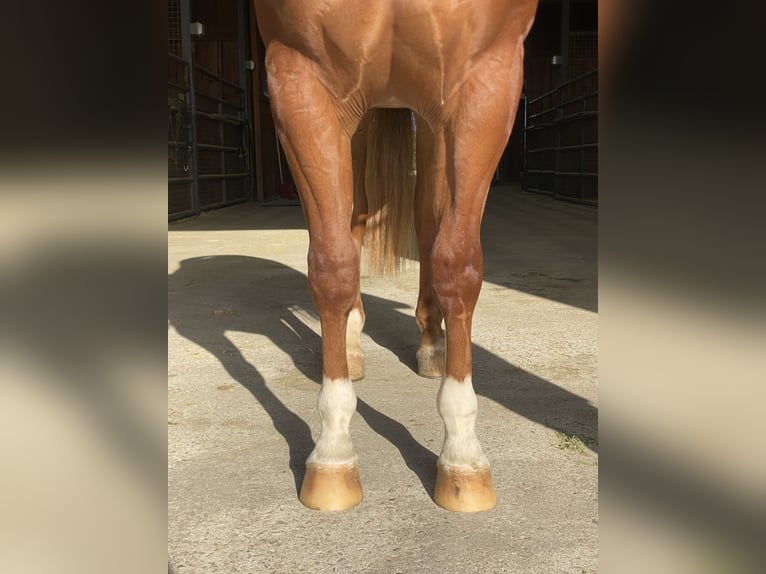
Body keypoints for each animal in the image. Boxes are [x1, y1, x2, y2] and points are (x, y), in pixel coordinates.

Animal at [252, 0, 539, 512]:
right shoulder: (298, 78)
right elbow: (332, 266)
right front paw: (332, 454)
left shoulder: (489, 78)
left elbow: (457, 264)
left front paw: (462, 457)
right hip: (360, 115)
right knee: (355, 214)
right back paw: (350, 344)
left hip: (430, 118)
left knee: (428, 216)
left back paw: (432, 344)